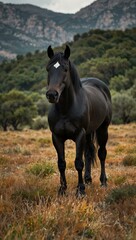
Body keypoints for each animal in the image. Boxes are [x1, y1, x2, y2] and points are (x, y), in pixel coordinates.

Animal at [45, 45, 111, 197]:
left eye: (65, 69)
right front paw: (62, 190)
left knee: (102, 154)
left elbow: (78, 163)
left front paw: (80, 190)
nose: (52, 95)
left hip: (102, 130)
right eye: (48, 69)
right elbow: (61, 163)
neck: (66, 109)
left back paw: (103, 182)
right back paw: (88, 179)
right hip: (89, 133)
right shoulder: (56, 137)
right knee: (89, 153)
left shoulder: (79, 135)